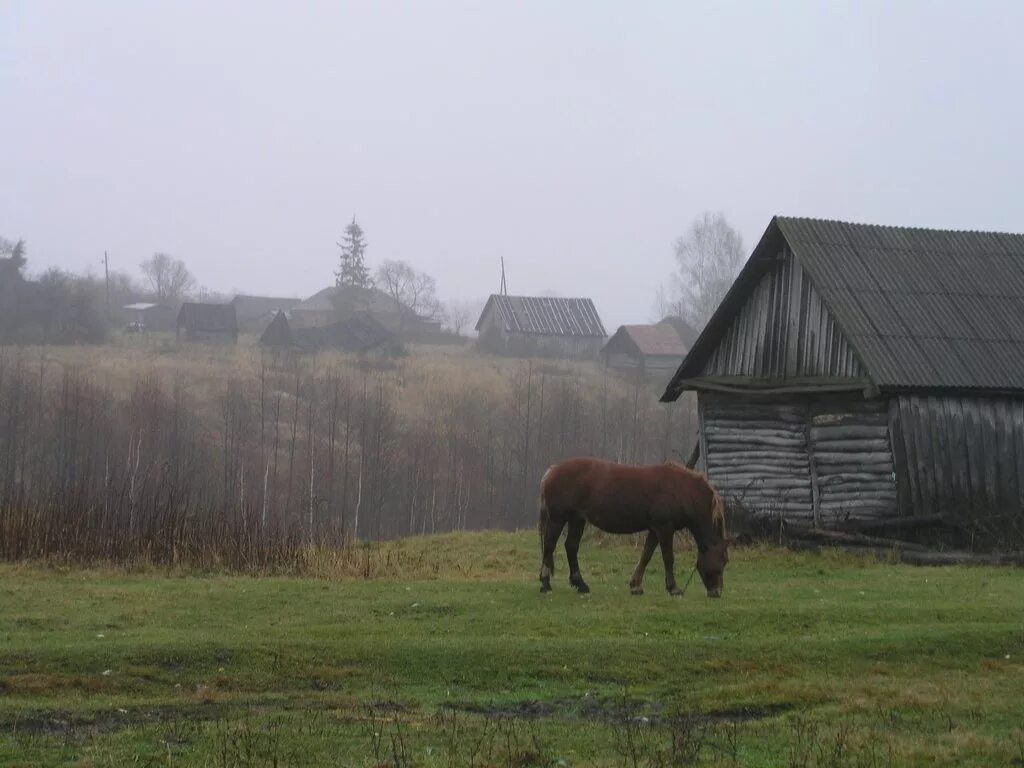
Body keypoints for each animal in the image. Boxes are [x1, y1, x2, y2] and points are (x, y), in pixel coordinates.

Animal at [540, 460, 733, 598]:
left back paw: (580, 584)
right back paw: (545, 583)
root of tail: (552, 471)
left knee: (571, 546)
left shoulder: (655, 529)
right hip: (558, 520)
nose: (717, 593)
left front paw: (636, 586)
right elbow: (668, 558)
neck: (681, 489)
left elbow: (646, 555)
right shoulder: (665, 528)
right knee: (549, 546)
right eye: (722, 560)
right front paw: (673, 588)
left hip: (577, 520)